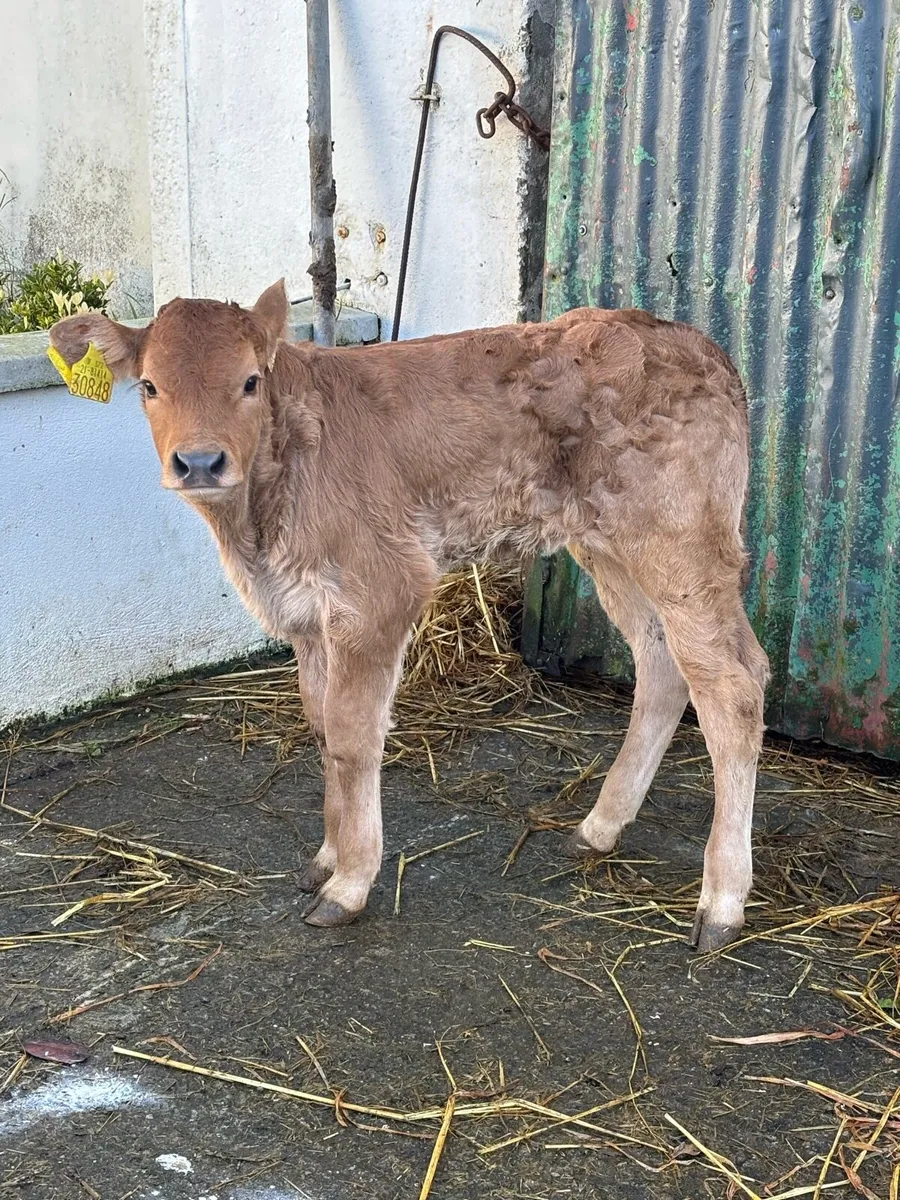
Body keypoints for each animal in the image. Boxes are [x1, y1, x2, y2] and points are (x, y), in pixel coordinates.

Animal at [50, 281, 769, 950]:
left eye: (250, 380)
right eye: (149, 386)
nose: (199, 461)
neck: (257, 526)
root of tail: (701, 347)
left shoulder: (379, 591)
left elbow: (352, 735)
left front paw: (349, 882)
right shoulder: (307, 617)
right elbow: (322, 730)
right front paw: (327, 857)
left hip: (679, 540)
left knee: (732, 685)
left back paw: (722, 901)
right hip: (607, 544)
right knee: (662, 666)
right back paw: (599, 828)